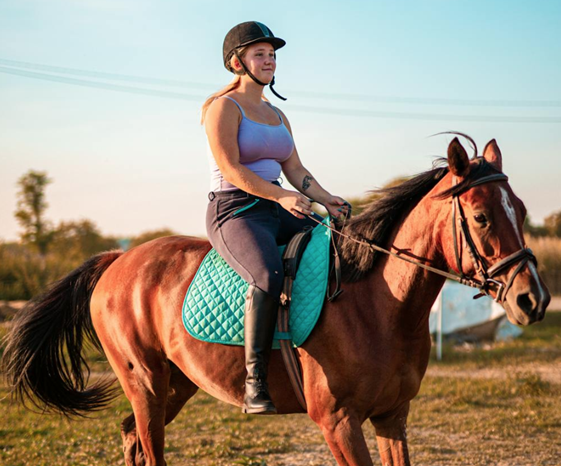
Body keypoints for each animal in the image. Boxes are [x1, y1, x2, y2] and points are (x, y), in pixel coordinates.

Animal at [2, 136, 548, 466]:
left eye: (521, 210)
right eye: (480, 217)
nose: (532, 299)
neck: (377, 305)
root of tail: (118, 259)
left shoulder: (393, 416)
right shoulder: (339, 423)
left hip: (177, 384)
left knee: (132, 439)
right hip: (146, 385)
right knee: (148, 446)